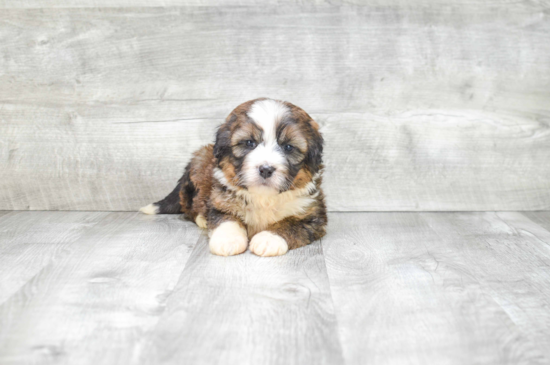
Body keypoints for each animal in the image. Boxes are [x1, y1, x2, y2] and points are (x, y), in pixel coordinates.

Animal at [140, 97, 328, 256]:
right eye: (249, 143)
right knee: (190, 209)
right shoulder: (220, 200)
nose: (266, 169)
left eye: (288, 147)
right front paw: (228, 240)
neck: (264, 197)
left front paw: (268, 239)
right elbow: (226, 218)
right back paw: (202, 219)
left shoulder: (313, 216)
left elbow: (291, 224)